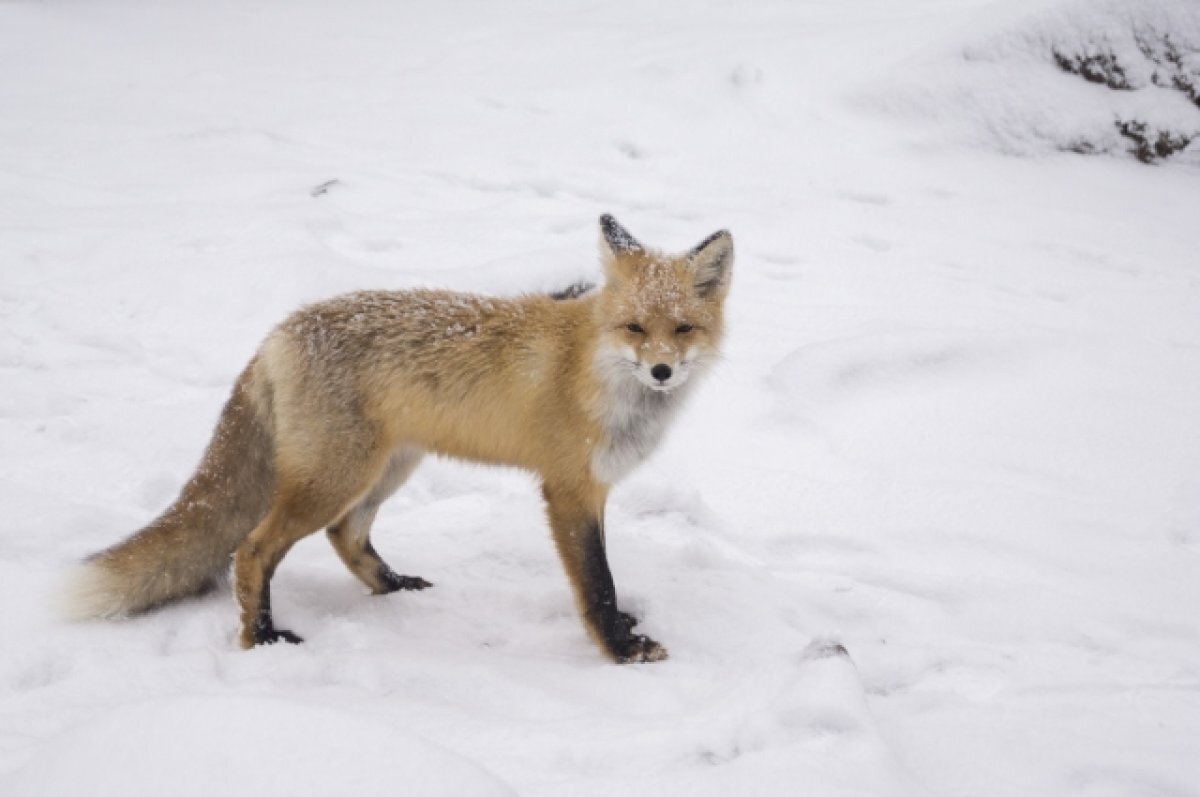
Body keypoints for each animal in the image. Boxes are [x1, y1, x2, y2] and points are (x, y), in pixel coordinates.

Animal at [65, 214, 729, 662]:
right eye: (634, 328)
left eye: (683, 329)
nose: (662, 371)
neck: (593, 366)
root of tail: (278, 332)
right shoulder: (568, 489)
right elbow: (597, 582)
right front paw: (620, 649)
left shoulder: (593, 488)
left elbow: (603, 575)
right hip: (335, 477)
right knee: (252, 550)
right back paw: (261, 638)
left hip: (387, 467)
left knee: (345, 534)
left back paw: (392, 588)